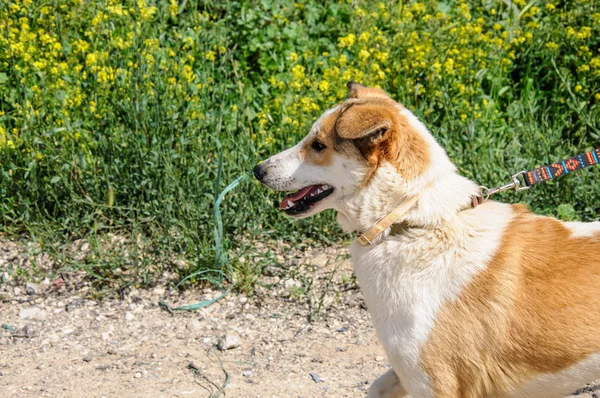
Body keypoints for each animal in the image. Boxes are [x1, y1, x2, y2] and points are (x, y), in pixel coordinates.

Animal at [253, 82, 600, 396]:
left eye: (318, 145)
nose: (257, 169)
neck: (408, 223)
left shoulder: (436, 381)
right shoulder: (406, 371)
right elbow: (376, 387)